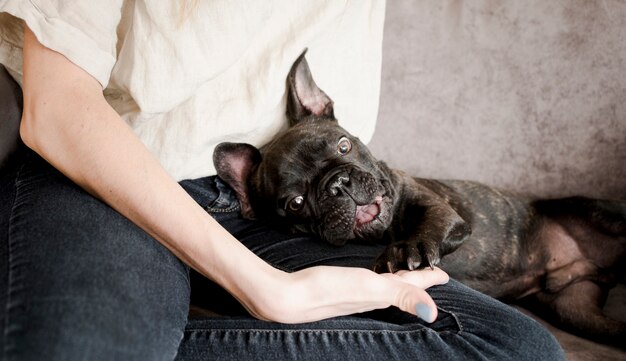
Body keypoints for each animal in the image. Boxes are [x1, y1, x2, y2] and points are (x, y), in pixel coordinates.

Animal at [211, 50, 624, 344]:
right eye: (295, 203)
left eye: (344, 145)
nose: (336, 184)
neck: (384, 231)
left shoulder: (442, 210)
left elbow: (429, 224)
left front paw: (406, 251)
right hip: (577, 310)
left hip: (596, 212)